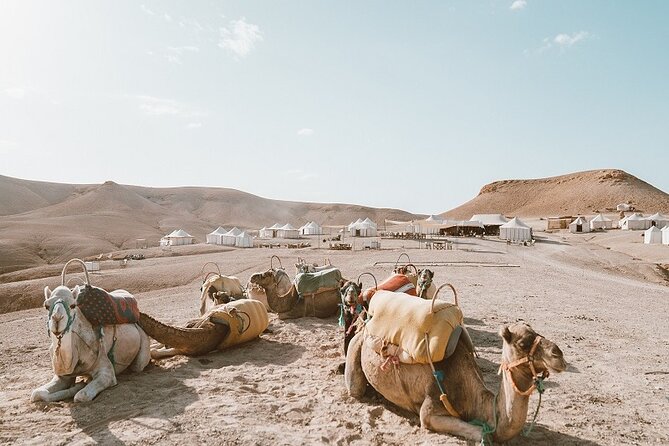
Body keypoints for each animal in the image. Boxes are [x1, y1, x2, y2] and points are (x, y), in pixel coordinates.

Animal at [348, 314, 568, 442]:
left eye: (538, 334)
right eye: (522, 343)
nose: (559, 355)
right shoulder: (430, 409)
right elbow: (481, 434)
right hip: (355, 346)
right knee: (355, 389)